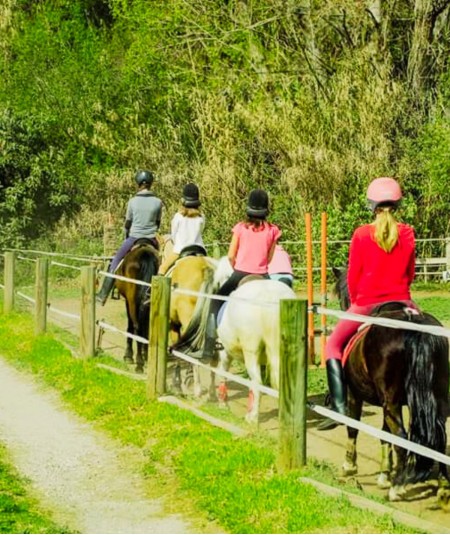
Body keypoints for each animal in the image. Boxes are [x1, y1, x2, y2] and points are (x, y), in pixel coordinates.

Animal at [114, 242, 160, 372]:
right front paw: (146, 354)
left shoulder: (128, 301)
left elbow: (131, 326)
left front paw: (128, 355)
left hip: (132, 301)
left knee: (137, 327)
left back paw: (139, 363)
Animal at [332, 268, 448, 502]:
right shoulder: (388, 401)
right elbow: (385, 433)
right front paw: (385, 473)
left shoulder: (354, 394)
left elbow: (353, 426)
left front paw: (349, 466)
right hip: (435, 396)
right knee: (440, 436)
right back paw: (442, 487)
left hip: (391, 399)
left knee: (402, 437)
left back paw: (398, 488)